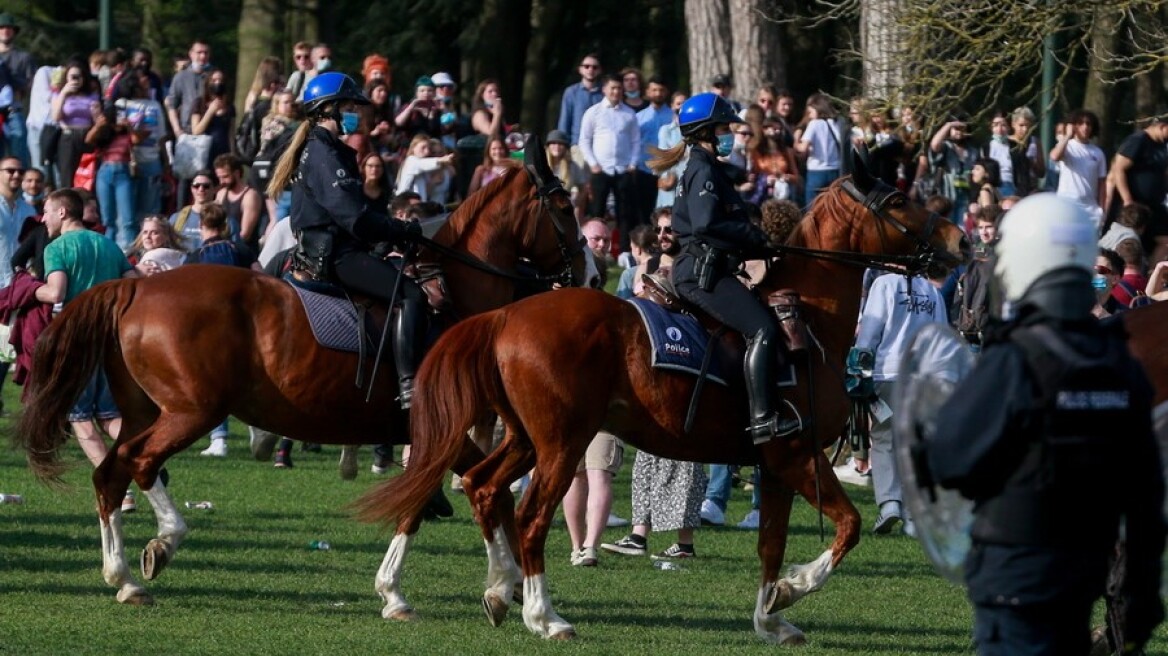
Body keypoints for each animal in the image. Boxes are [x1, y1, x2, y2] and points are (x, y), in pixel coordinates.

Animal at [15, 140, 602, 606]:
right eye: (564, 207)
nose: (593, 276)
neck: (456, 297)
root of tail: (137, 284)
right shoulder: (441, 430)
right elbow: (433, 501)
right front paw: (402, 593)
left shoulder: (445, 435)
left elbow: (484, 494)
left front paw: (503, 584)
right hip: (190, 412)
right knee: (139, 463)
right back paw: (164, 542)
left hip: (146, 411)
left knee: (111, 472)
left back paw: (124, 578)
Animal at [350, 161, 971, 639]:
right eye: (898, 200)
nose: (962, 240)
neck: (810, 321)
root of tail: (506, 314)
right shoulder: (797, 455)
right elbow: (848, 527)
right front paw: (793, 590)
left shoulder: (775, 465)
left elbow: (771, 544)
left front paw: (770, 617)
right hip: (563, 444)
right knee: (529, 517)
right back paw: (544, 616)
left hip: (527, 440)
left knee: (483, 488)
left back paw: (500, 592)